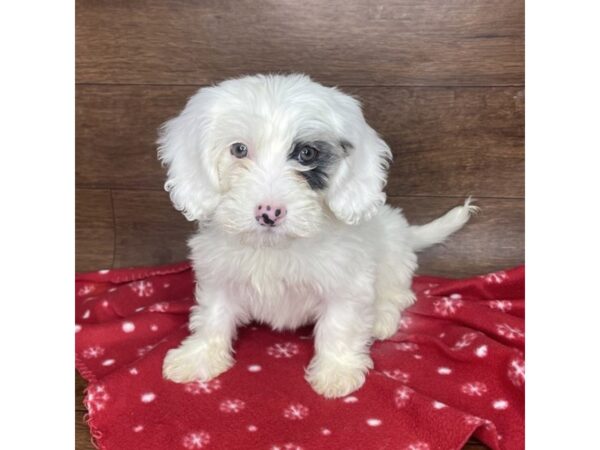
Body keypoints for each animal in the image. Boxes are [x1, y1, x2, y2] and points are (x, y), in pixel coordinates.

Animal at [159, 74, 478, 398]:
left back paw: (381, 317)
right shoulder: (219, 273)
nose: (269, 212)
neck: (275, 247)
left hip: (392, 254)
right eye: (239, 150)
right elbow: (213, 315)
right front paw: (200, 355)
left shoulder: (346, 281)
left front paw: (337, 370)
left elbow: (339, 325)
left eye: (307, 153)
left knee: (397, 292)